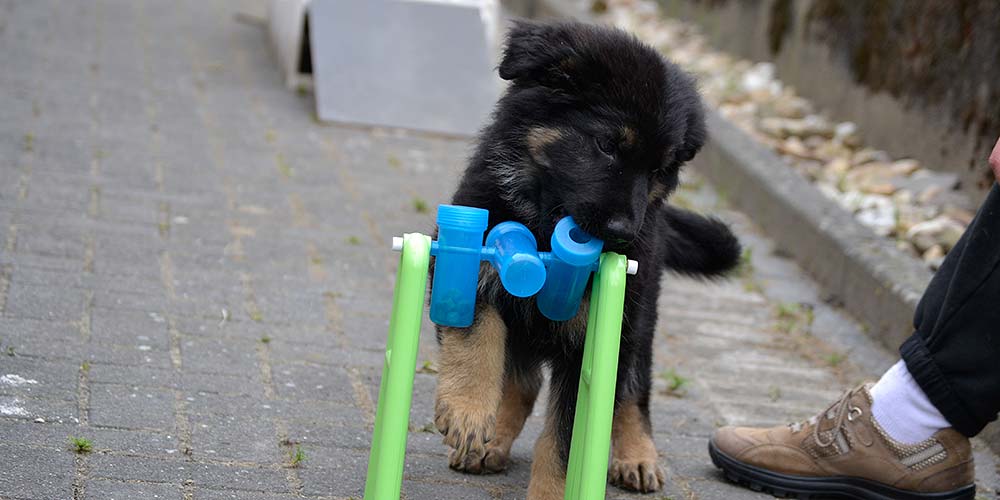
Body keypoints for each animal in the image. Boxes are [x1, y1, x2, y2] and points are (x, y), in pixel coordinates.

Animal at [432, 19, 744, 496]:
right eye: (607, 145)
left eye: (658, 170)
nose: (623, 233)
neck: (542, 233)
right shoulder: (470, 263)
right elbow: (476, 337)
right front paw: (468, 411)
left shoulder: (597, 341)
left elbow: (565, 441)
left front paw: (552, 490)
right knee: (524, 381)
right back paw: (494, 438)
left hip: (638, 322)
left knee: (633, 392)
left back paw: (637, 454)